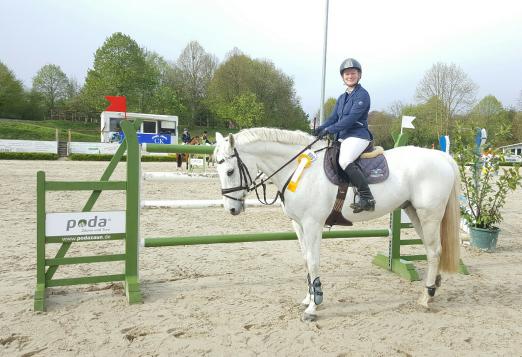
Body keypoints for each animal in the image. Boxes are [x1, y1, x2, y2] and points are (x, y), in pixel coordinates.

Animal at [212, 128, 460, 320]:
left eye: (230, 171)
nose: (231, 209)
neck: (299, 170)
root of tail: (442, 157)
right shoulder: (298, 225)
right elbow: (306, 260)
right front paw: (309, 297)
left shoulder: (313, 224)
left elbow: (313, 262)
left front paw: (314, 307)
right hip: (413, 212)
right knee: (431, 250)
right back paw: (432, 288)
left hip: (429, 215)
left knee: (435, 251)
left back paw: (426, 297)